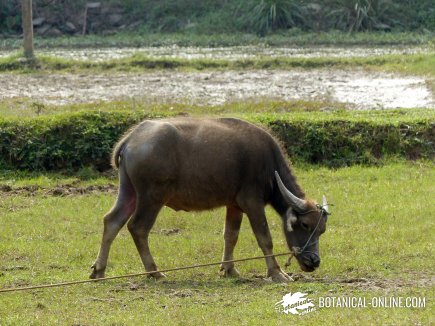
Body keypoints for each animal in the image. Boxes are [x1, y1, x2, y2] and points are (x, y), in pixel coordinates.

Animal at [90, 118, 328, 282]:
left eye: (321, 230)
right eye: (305, 225)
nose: (314, 261)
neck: (269, 166)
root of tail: (132, 139)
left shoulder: (234, 204)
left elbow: (231, 235)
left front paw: (229, 269)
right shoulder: (252, 202)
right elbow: (264, 238)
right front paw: (277, 273)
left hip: (128, 191)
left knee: (112, 221)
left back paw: (99, 271)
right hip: (152, 197)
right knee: (138, 227)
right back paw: (154, 272)